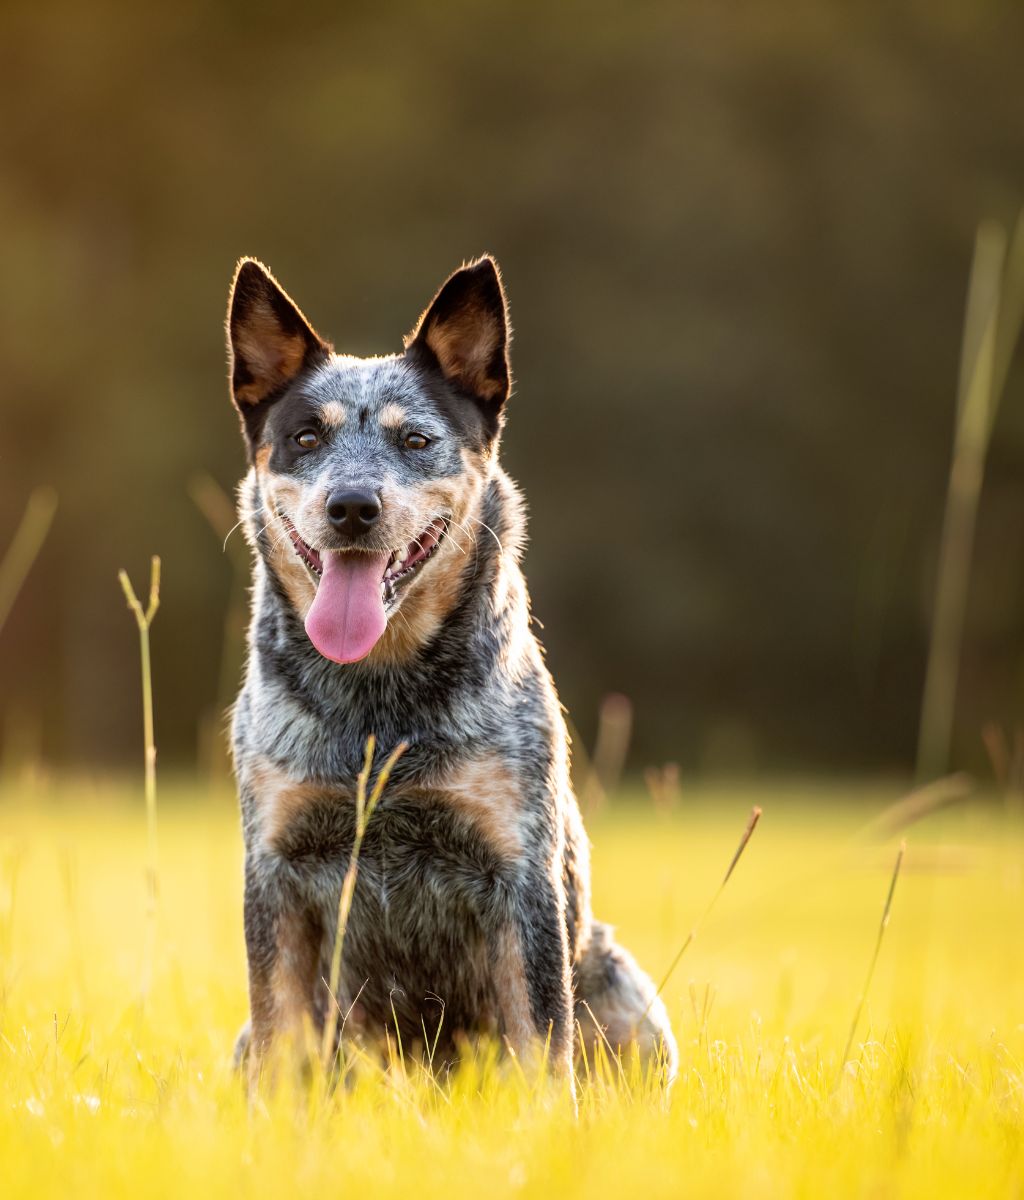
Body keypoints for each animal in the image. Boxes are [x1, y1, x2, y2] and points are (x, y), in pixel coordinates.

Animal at [224, 255, 677, 1099]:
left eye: (415, 438)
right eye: (304, 437)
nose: (352, 505)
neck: (379, 709)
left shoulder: (520, 877)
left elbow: (542, 1042)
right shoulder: (275, 873)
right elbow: (283, 1039)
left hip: (619, 982)